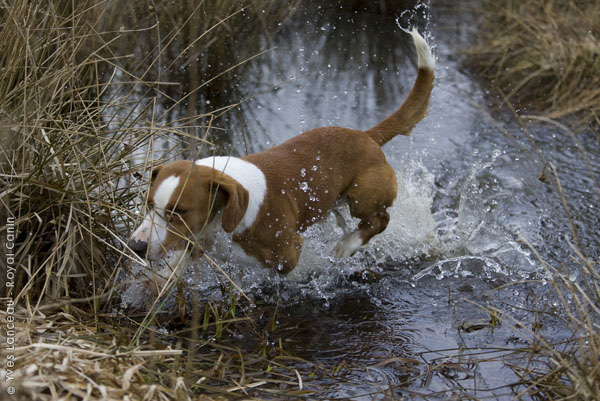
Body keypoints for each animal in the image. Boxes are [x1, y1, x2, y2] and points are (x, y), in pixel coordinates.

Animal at [129, 28, 434, 272]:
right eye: (148, 204)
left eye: (180, 211)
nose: (136, 246)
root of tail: (366, 135)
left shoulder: (286, 253)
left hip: (363, 194)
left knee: (380, 219)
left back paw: (346, 245)